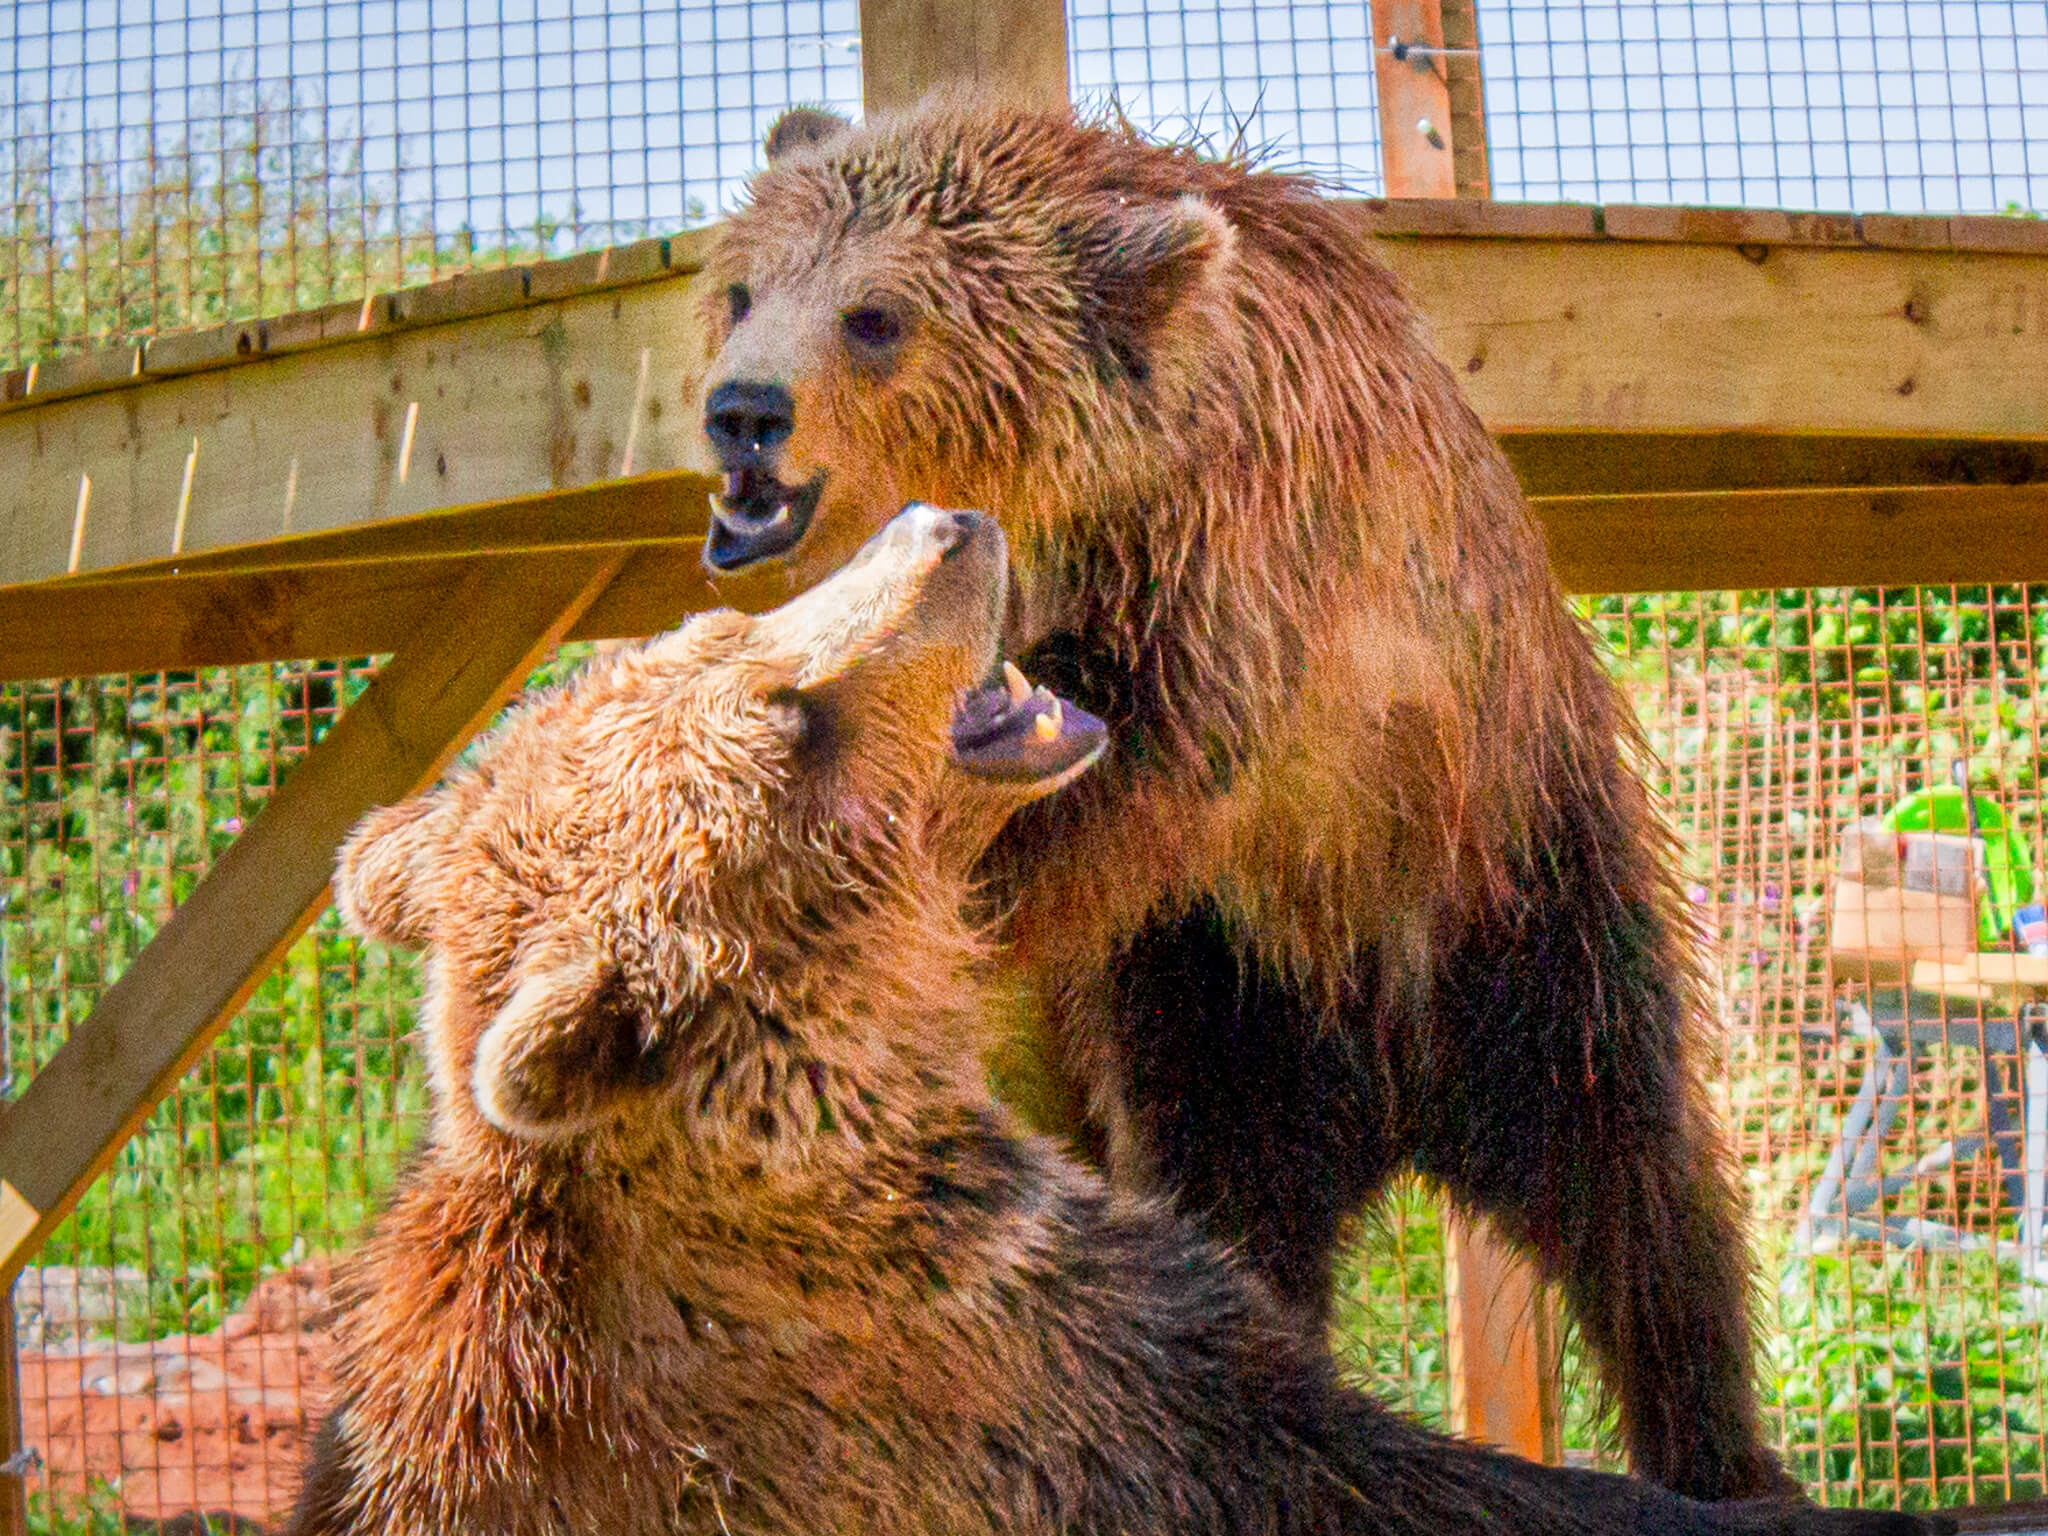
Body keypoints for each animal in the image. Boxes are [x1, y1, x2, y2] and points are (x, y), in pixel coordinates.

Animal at [695, 96, 1809, 1507]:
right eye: (742, 290)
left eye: (875, 316)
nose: (742, 411)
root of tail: (1396, 1097)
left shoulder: (1246, 580)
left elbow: (1124, 765)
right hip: (1222, 1004)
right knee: (1238, 1206)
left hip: (1507, 887)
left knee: (1628, 1173)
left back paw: (1722, 1454)